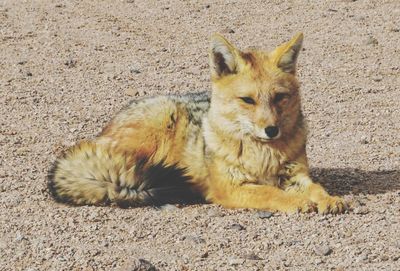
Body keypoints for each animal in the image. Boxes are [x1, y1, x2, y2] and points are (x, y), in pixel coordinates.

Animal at [47, 33, 346, 215]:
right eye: (247, 100)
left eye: (279, 98)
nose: (271, 130)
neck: (264, 155)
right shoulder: (231, 187)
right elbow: (271, 193)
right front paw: (298, 201)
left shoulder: (297, 175)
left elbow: (316, 187)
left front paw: (329, 199)